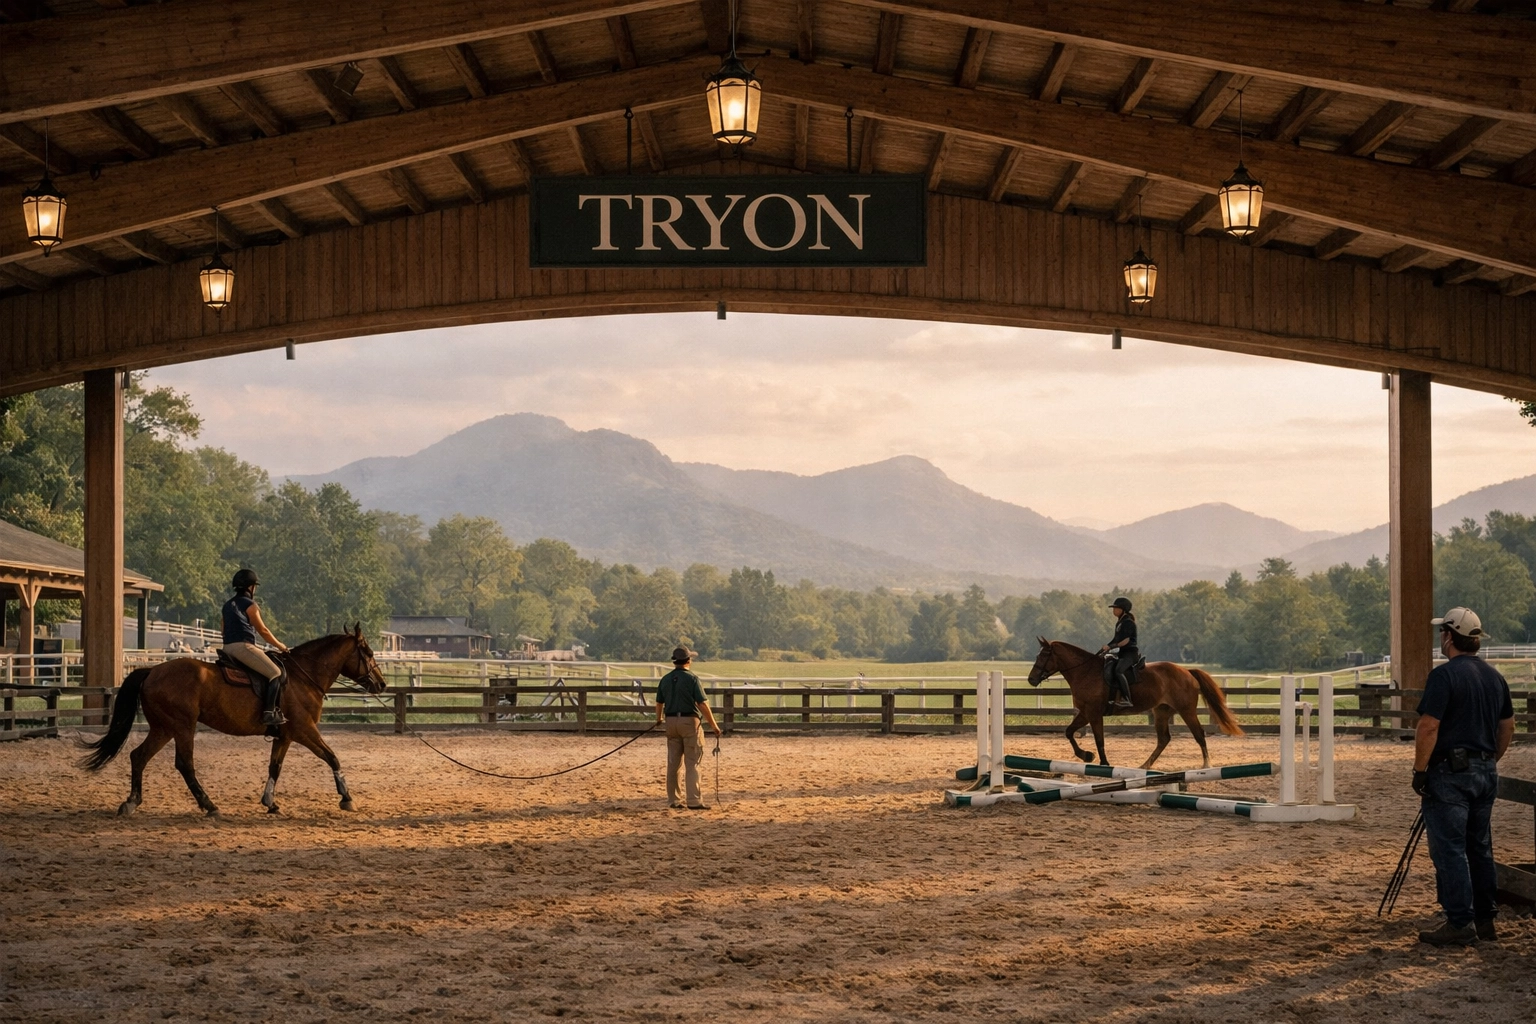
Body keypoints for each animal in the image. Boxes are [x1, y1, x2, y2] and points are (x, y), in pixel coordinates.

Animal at [79, 625, 387, 817]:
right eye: (370, 653)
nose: (382, 684)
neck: (304, 676)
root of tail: (152, 671)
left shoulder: (285, 735)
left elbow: (275, 767)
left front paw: (270, 802)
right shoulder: (304, 730)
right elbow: (332, 757)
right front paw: (347, 798)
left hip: (164, 728)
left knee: (139, 756)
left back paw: (131, 802)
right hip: (182, 727)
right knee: (184, 764)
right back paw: (209, 806)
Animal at [1026, 637, 1244, 770]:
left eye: (1044, 656)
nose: (1031, 679)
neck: (1085, 671)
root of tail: (1186, 671)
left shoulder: (1094, 713)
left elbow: (1099, 740)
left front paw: (1103, 762)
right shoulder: (1085, 712)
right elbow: (1069, 732)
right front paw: (1086, 756)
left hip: (1186, 710)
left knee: (1199, 734)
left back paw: (1206, 765)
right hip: (1161, 711)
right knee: (1163, 739)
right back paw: (1145, 766)